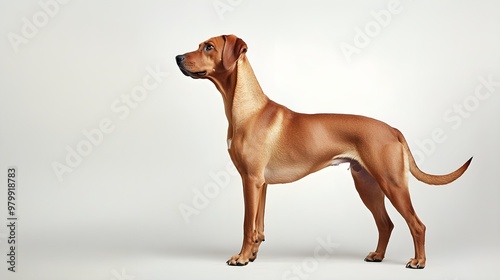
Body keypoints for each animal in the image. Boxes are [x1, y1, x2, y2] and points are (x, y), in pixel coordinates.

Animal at [176, 35, 472, 270]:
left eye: (209, 46)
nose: (178, 57)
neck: (248, 109)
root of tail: (392, 129)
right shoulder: (262, 184)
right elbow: (259, 226)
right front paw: (252, 255)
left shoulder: (251, 180)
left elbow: (248, 225)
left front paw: (240, 257)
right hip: (367, 185)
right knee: (385, 224)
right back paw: (378, 255)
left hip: (392, 183)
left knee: (416, 224)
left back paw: (419, 261)